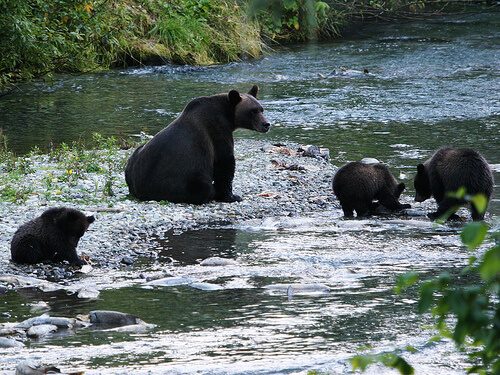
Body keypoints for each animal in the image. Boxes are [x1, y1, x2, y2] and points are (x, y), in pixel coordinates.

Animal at [125, 85, 270, 204]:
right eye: (252, 111)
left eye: (261, 109)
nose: (266, 124)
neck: (228, 116)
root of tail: (141, 191)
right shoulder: (218, 131)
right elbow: (225, 162)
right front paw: (232, 196)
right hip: (183, 180)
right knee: (203, 188)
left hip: (134, 160)